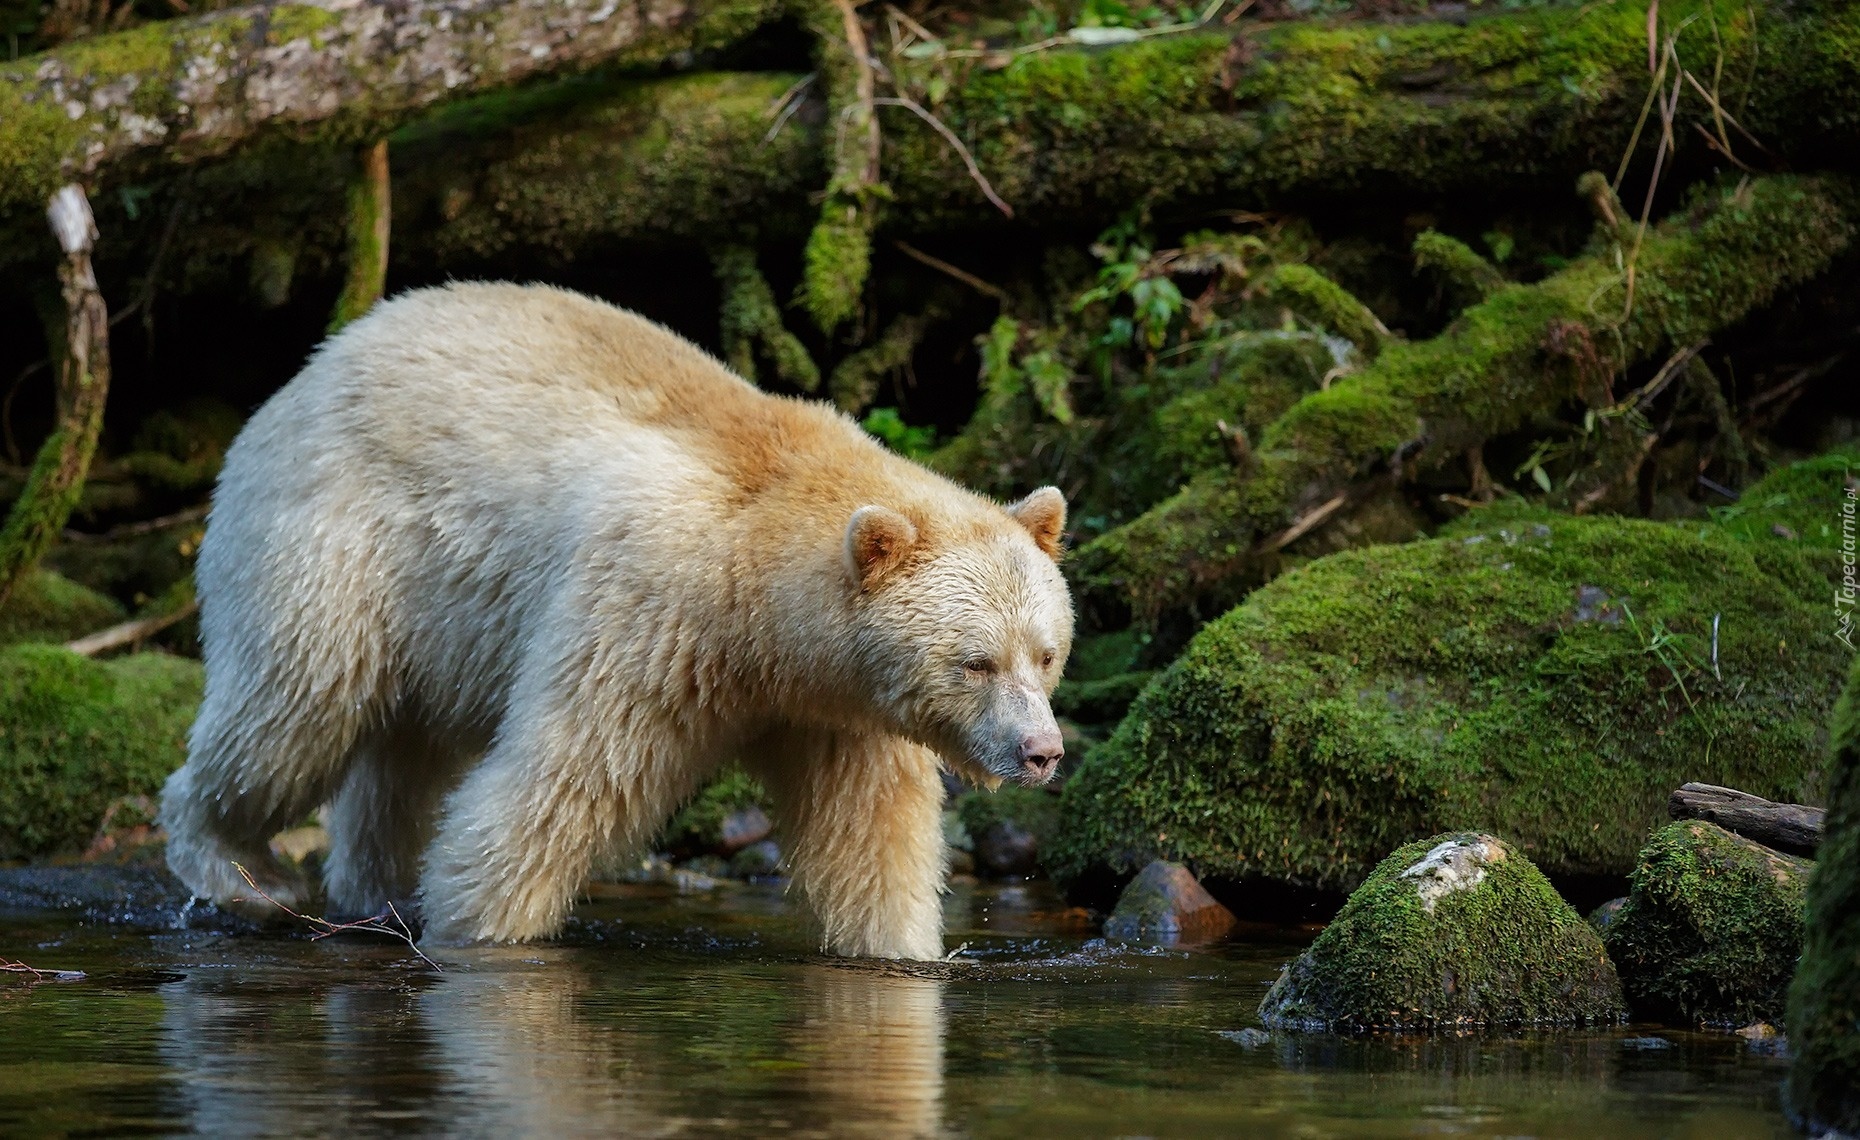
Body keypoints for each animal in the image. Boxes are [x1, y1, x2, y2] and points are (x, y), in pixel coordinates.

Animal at [159, 280, 1078, 952]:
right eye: (976, 660)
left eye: (1045, 653)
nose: (1041, 752)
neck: (762, 605)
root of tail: (315, 364)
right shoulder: (649, 612)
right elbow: (559, 784)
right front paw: (481, 925)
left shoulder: (838, 709)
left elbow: (870, 839)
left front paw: (904, 949)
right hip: (337, 543)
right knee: (292, 716)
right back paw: (240, 870)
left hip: (440, 621)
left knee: (399, 759)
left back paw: (376, 889)